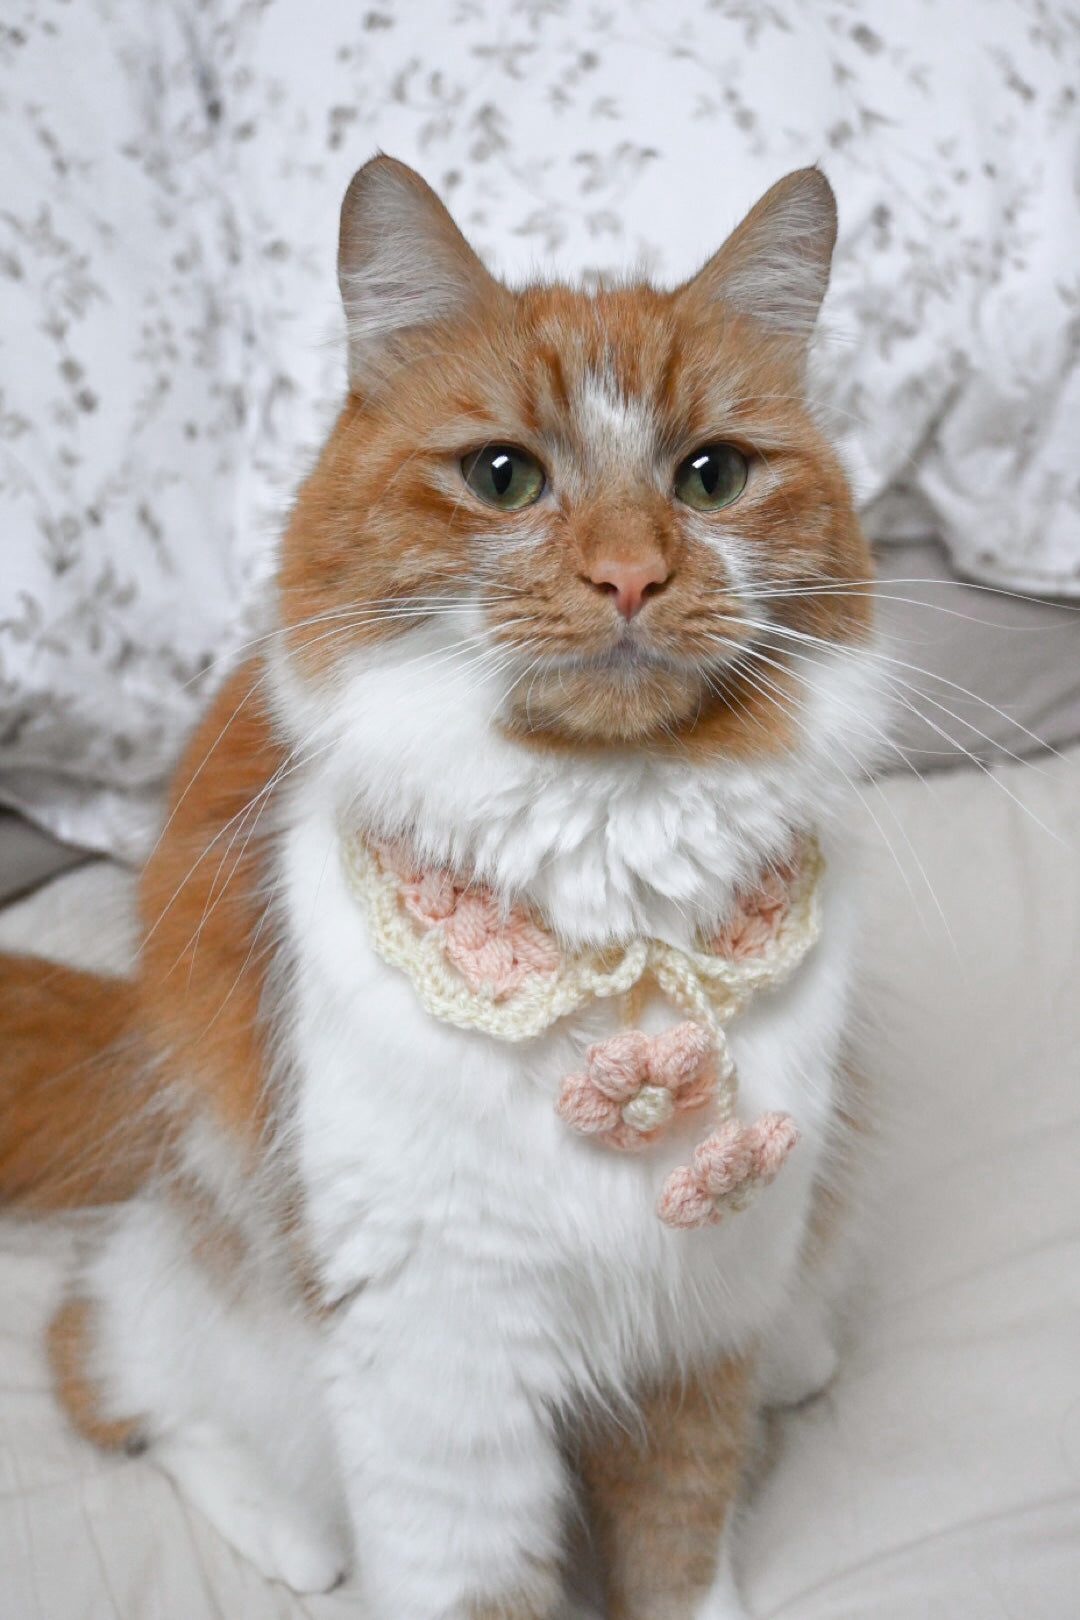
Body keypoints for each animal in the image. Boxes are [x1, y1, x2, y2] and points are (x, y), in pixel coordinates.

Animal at [0, 154, 893, 1620]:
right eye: (503, 476)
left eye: (710, 477)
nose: (632, 573)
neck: (611, 913)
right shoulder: (437, 1357)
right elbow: (464, 1574)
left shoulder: (698, 1315)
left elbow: (680, 1542)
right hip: (233, 1298)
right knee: (107, 1356)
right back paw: (297, 1543)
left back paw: (805, 1358)